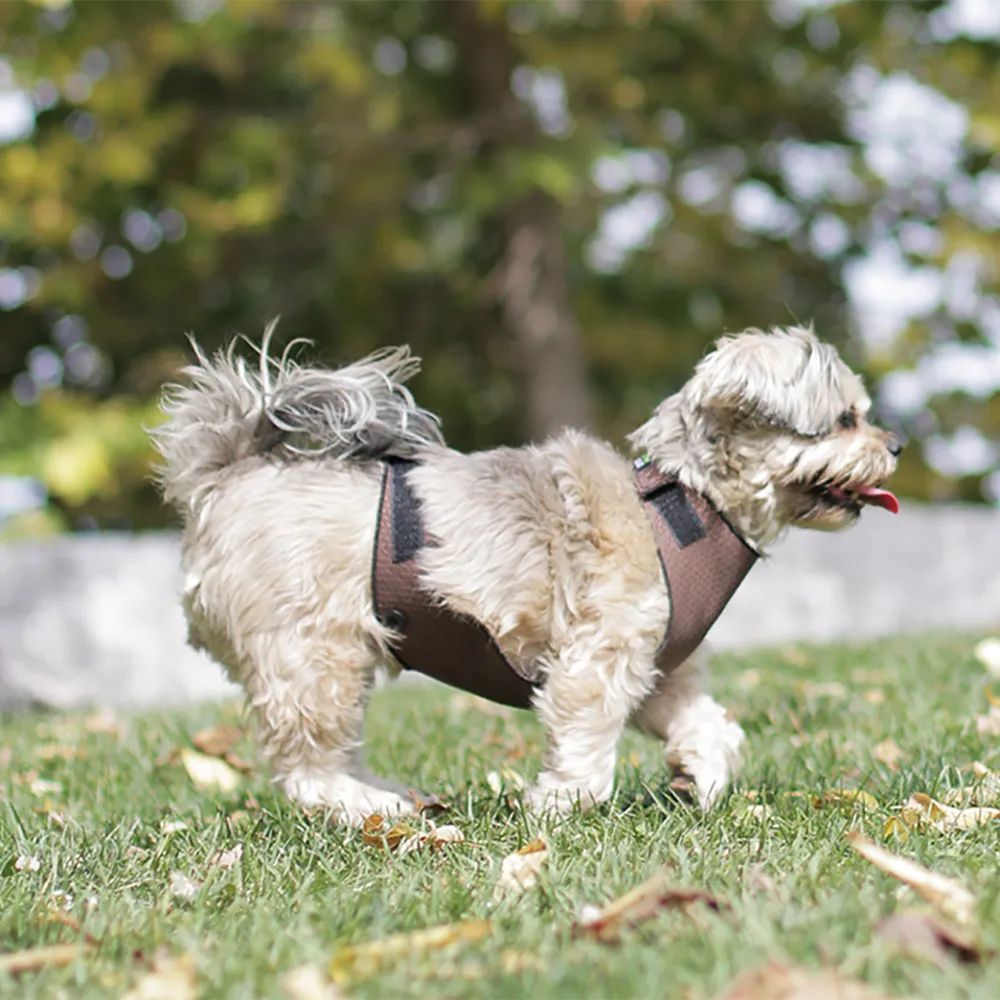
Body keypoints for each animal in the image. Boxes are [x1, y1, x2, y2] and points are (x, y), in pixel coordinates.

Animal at [152, 324, 904, 824]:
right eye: (846, 419)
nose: (895, 443)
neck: (688, 504)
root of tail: (226, 475)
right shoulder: (596, 663)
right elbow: (586, 750)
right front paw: (559, 806)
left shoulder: (656, 668)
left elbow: (711, 727)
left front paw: (701, 778)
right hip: (314, 655)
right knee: (307, 768)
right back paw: (370, 807)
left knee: (331, 754)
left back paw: (387, 797)